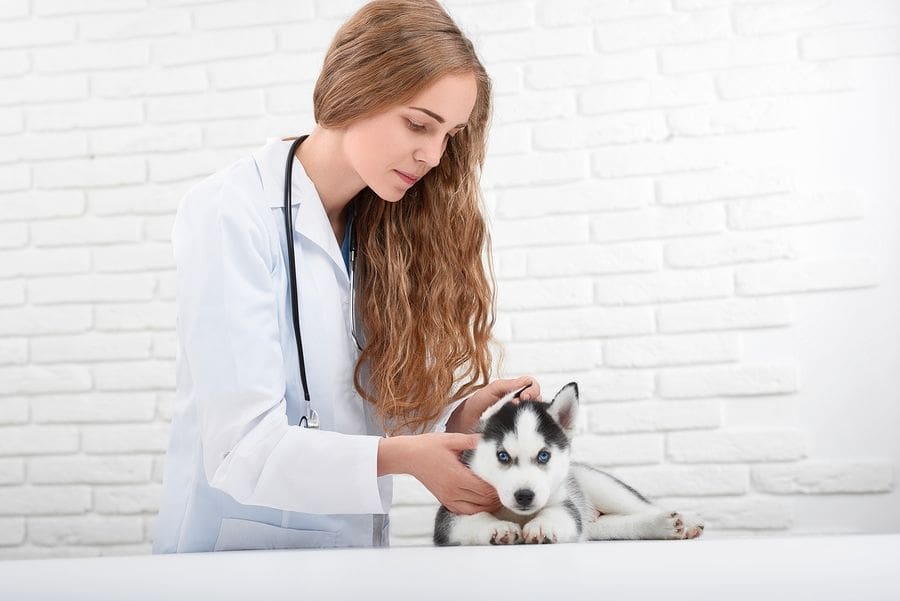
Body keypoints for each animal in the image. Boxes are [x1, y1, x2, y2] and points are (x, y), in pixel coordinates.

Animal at [432, 382, 708, 548]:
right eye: (502, 456)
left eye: (544, 456)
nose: (524, 496)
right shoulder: (451, 510)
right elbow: (472, 519)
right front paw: (497, 527)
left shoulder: (566, 503)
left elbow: (558, 512)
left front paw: (542, 525)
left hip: (603, 487)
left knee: (642, 507)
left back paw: (681, 521)